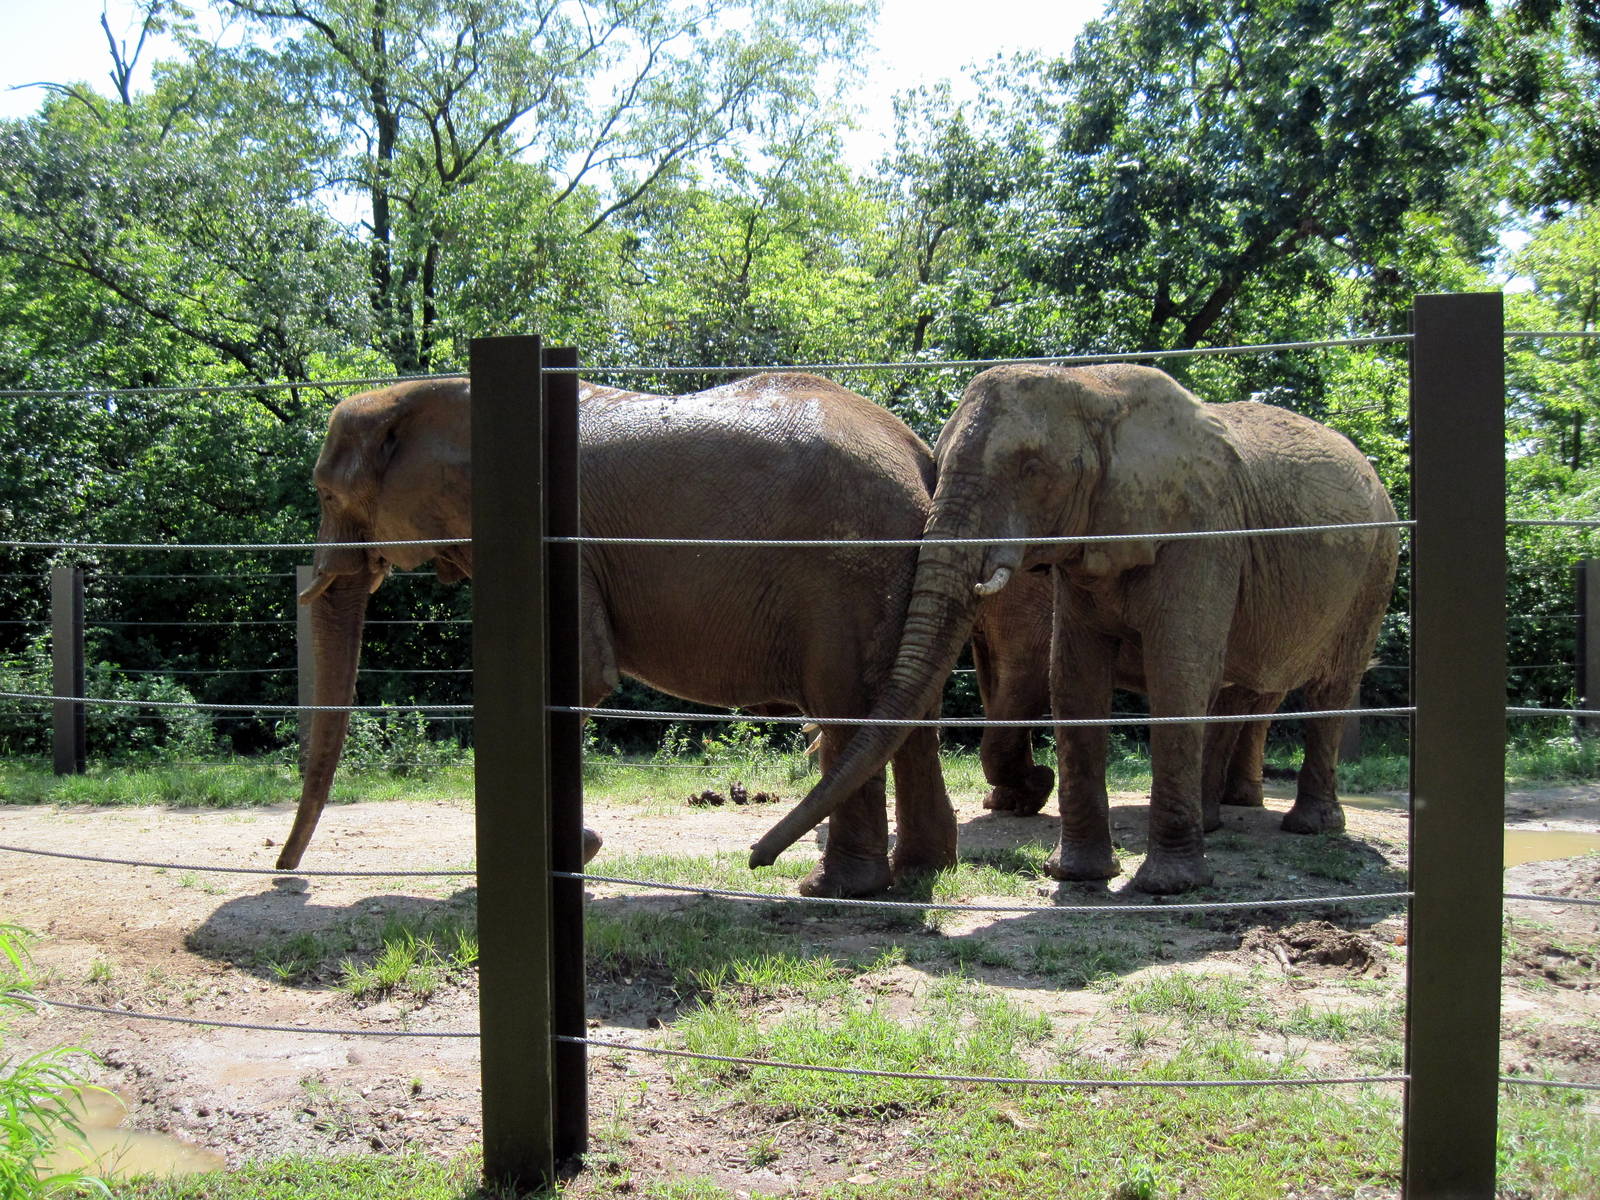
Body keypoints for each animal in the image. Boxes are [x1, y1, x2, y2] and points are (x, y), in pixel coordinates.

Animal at [277, 371, 962, 898]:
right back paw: (919, 873)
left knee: (847, 710)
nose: (287, 875)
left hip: (847, 570)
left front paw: (566, 856)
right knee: (906, 717)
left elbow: (576, 677)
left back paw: (836, 889)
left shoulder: (556, 540)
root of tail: (921, 458)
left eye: (327, 494)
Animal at [750, 363, 1399, 895]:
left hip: (1378, 564)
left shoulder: (1201, 531)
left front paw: (1166, 885)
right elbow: (1073, 678)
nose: (758, 859)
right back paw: (1220, 814)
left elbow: (1169, 671)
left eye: (1032, 467)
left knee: (1328, 688)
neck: (1095, 388)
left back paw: (1309, 827)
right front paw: (1074, 871)